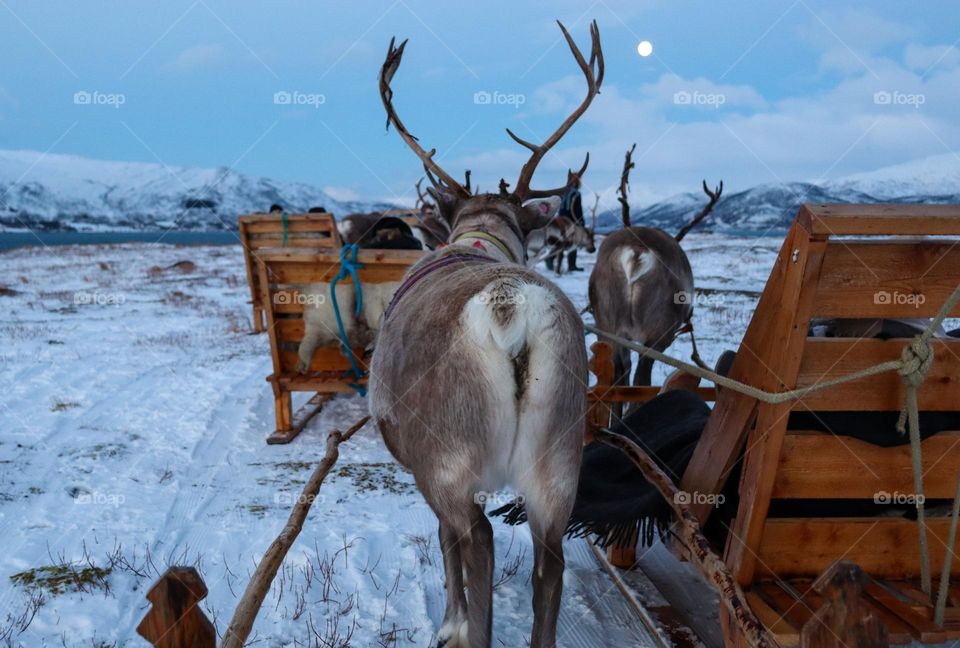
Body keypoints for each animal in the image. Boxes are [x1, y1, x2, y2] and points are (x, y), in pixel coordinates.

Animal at [369, 20, 603, 648]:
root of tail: (510, 308)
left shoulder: (417, 463)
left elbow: (444, 543)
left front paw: (450, 621)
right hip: (560, 461)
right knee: (550, 564)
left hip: (448, 459)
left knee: (477, 540)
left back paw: (467, 627)